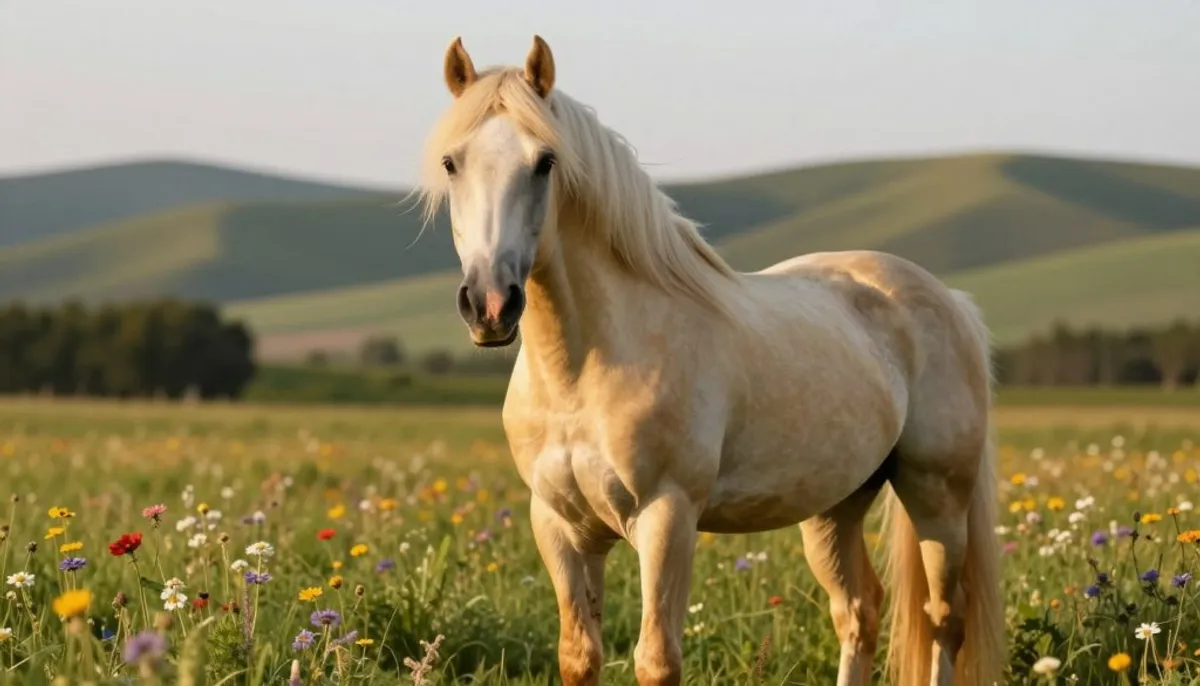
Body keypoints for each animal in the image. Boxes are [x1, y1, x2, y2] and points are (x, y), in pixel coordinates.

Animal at [414, 35, 1007, 686]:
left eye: (545, 161)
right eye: (451, 162)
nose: (490, 305)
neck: (580, 373)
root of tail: (949, 300)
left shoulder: (667, 517)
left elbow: (657, 660)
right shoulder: (560, 526)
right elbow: (579, 656)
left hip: (937, 495)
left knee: (944, 617)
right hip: (836, 505)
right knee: (859, 611)